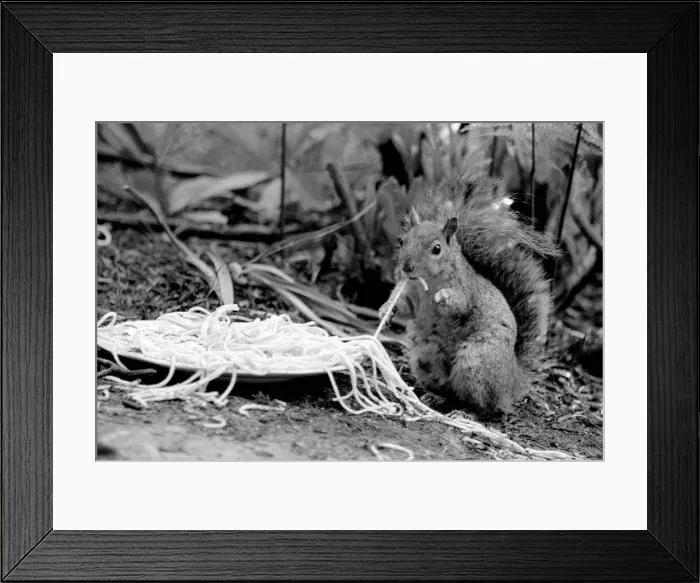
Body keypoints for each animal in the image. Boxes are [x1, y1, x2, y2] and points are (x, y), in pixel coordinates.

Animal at [379, 175, 558, 416]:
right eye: (402, 241)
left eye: (436, 249)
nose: (406, 268)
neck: (428, 282)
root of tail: (511, 384)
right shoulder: (409, 292)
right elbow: (405, 306)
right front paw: (386, 310)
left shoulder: (467, 290)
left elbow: (462, 304)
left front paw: (444, 297)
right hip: (426, 358)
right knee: (451, 391)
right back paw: (436, 397)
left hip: (477, 363)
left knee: (484, 405)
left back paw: (466, 412)